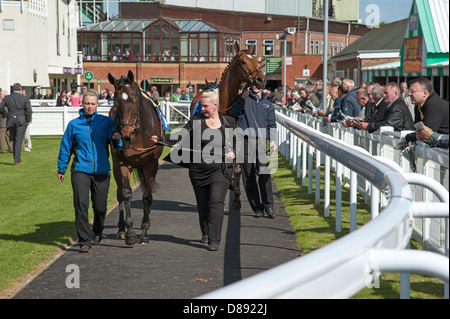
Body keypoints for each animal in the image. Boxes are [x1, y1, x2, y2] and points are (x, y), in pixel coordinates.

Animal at [107, 70, 163, 245]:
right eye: (116, 100)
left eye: (133, 99)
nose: (125, 133)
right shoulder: (122, 163)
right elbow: (126, 194)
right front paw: (130, 232)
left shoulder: (151, 165)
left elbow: (147, 197)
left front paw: (144, 231)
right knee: (119, 192)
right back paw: (121, 230)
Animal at [188, 43, 266, 212]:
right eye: (243, 62)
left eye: (256, 60)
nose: (261, 80)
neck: (223, 104)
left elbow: (235, 169)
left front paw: (235, 200)